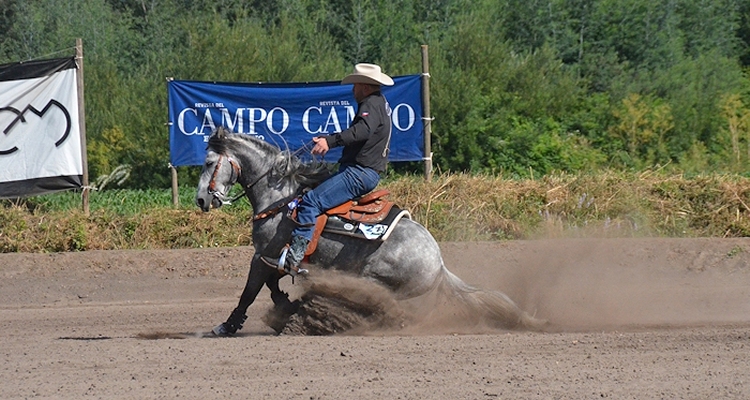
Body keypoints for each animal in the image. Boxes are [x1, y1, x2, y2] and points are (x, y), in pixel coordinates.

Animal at [194, 127, 548, 334]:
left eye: (209, 163)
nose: (201, 199)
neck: (280, 198)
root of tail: (439, 264)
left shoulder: (263, 256)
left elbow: (250, 291)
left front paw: (227, 326)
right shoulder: (272, 260)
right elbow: (269, 286)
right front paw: (284, 305)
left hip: (371, 279)